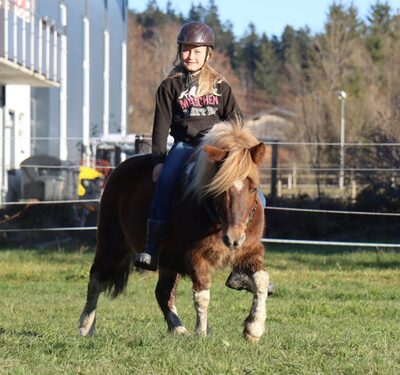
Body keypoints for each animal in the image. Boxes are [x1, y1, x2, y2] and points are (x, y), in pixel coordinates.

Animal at [79, 123, 270, 344]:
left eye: (253, 188)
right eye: (220, 189)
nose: (234, 239)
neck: (216, 220)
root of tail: (119, 170)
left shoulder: (250, 251)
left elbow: (262, 280)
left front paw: (254, 328)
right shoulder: (197, 257)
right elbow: (202, 295)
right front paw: (201, 333)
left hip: (168, 260)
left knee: (162, 292)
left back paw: (178, 328)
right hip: (112, 242)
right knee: (96, 278)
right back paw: (85, 326)